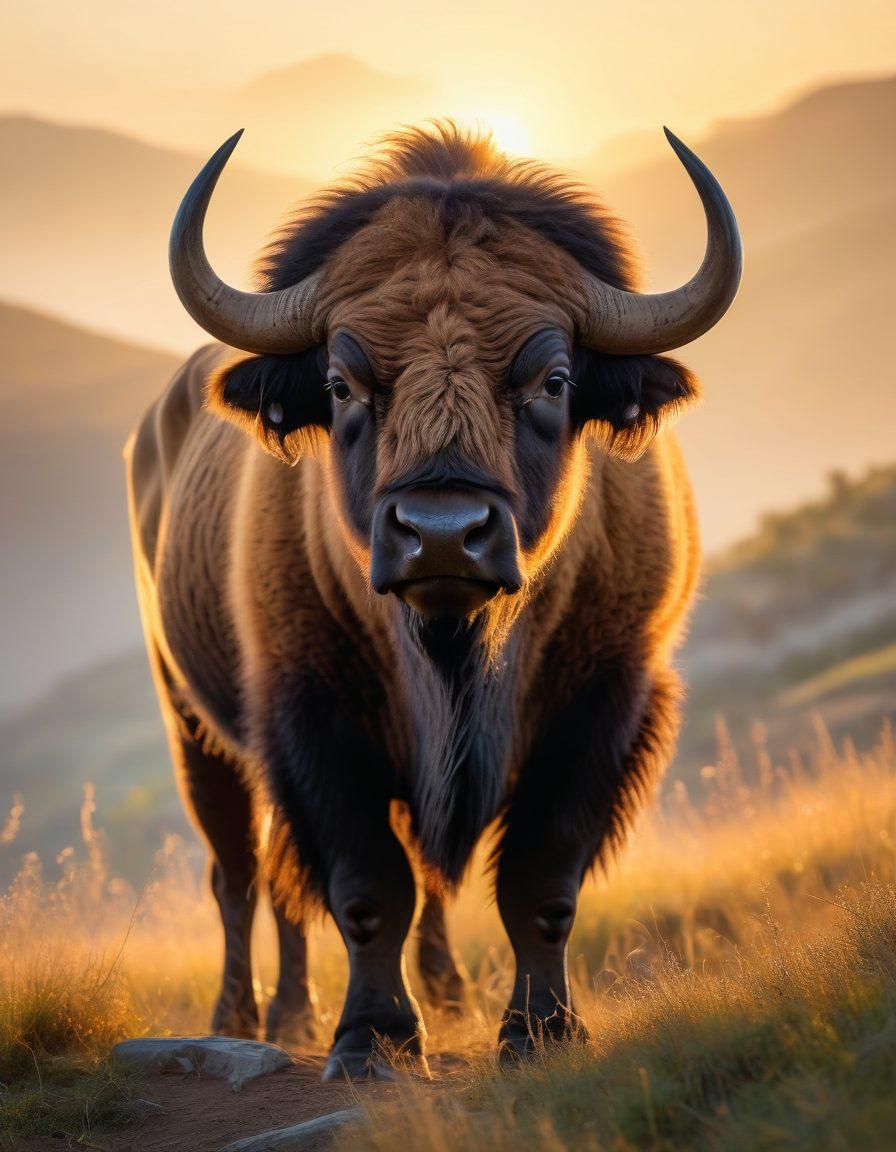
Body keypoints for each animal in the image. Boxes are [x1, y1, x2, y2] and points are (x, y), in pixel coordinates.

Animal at [126, 122, 741, 1079]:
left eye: (554, 380)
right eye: (341, 383)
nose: (443, 532)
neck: (458, 650)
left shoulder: (603, 704)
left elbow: (539, 882)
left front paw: (541, 1031)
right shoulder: (311, 718)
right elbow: (368, 889)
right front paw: (371, 1041)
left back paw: (383, 1003)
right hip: (192, 724)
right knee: (241, 874)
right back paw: (249, 1018)